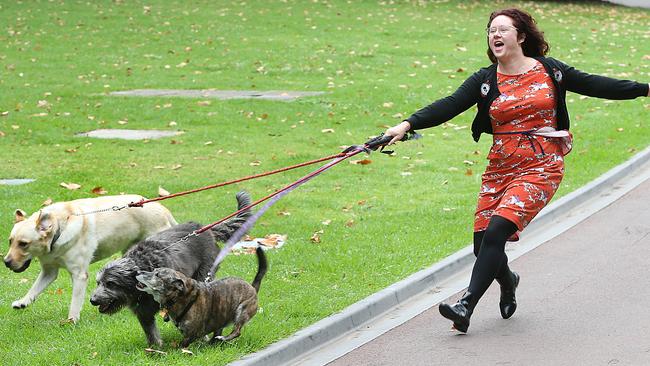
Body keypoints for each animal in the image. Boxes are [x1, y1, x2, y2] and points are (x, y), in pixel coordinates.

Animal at [90, 190, 251, 348]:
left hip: (204, 274)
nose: (92, 300)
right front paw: (155, 349)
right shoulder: (143, 312)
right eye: (98, 283)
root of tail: (204, 229)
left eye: (111, 283)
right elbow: (151, 333)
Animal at [135, 246, 268, 346]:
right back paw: (214, 342)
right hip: (222, 317)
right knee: (218, 332)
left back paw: (223, 338)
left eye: (157, 275)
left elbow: (183, 344)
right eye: (154, 270)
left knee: (237, 331)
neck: (178, 298)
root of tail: (252, 287)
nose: (138, 271)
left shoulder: (192, 334)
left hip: (242, 311)